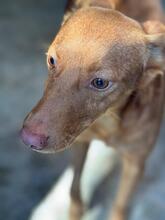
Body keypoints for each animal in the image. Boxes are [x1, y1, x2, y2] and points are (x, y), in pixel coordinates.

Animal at [20, 0, 165, 220]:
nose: (28, 139)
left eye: (100, 83)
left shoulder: (135, 162)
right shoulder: (80, 143)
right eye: (52, 60)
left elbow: (120, 208)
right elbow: (74, 193)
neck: (108, 120)